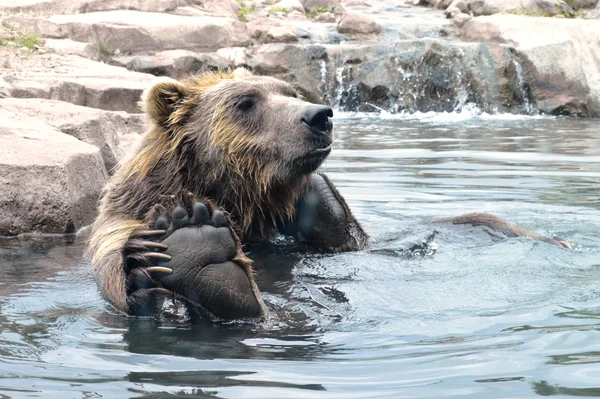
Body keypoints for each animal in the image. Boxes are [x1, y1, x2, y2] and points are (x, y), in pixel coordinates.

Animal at [86, 69, 568, 322]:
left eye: (289, 91)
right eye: (245, 101)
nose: (319, 115)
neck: (241, 198)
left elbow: (347, 233)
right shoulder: (131, 209)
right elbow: (117, 262)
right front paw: (183, 233)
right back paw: (200, 252)